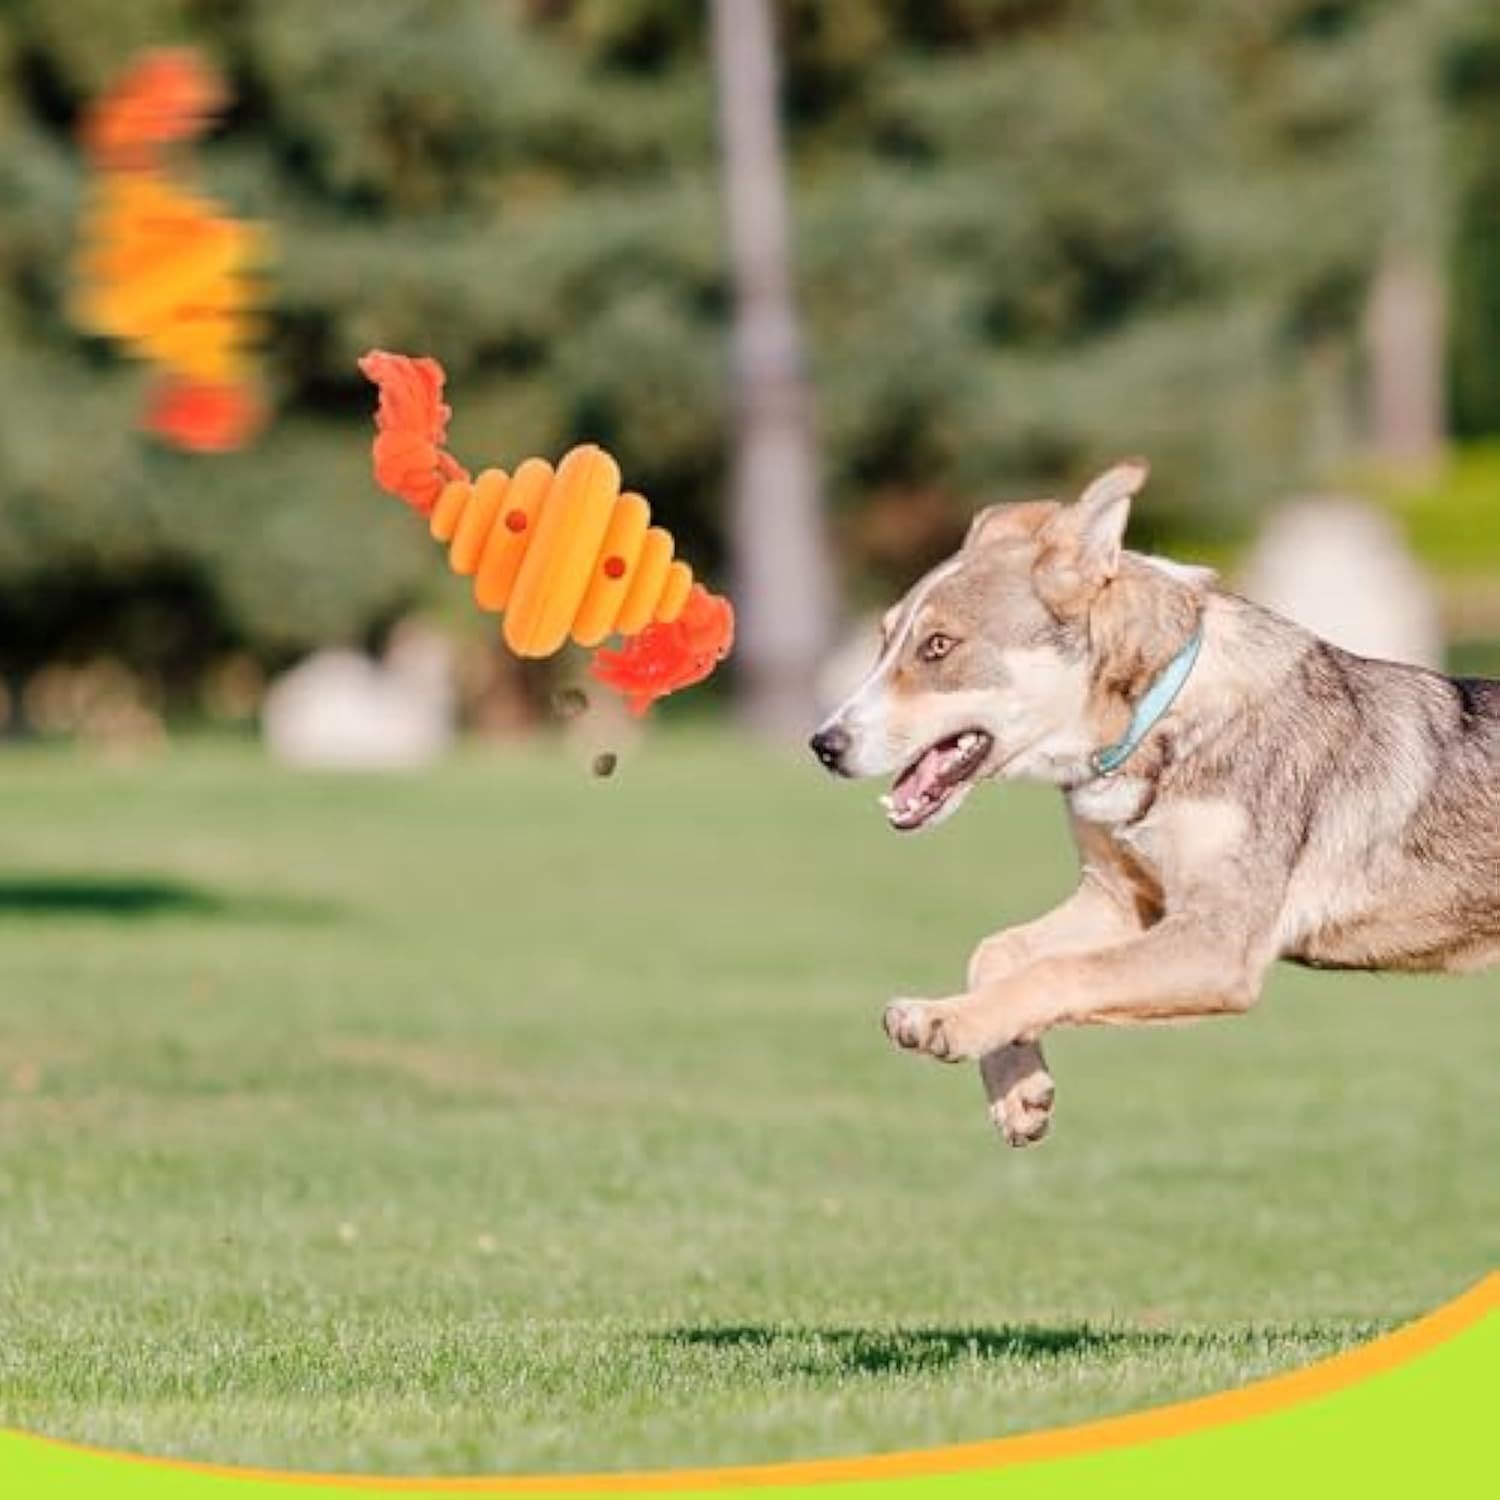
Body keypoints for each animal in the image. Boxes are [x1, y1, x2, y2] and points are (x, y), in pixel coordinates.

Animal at [816, 462, 1494, 1140]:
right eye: (883, 640)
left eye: (937, 646)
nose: (823, 745)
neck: (1157, 718)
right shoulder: (1122, 898)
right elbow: (997, 949)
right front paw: (1019, 1090)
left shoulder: (1219, 941)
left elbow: (1061, 972)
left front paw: (943, 1022)